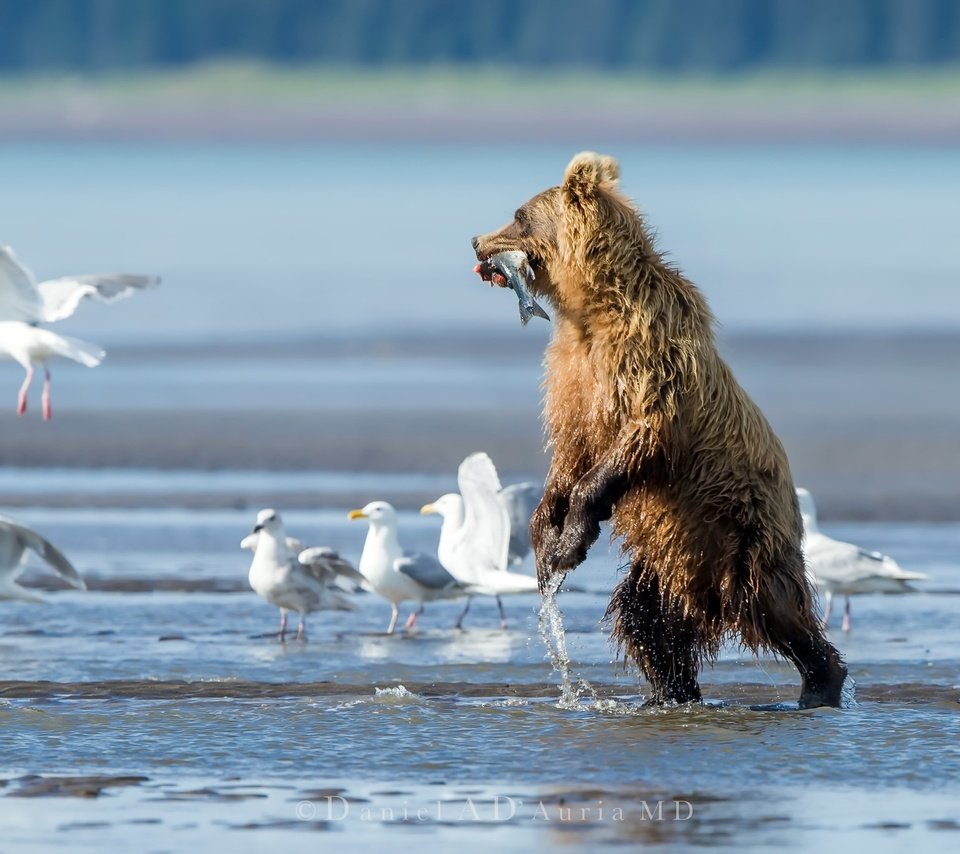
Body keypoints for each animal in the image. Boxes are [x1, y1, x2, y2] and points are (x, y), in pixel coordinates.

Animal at [472, 154, 848, 708]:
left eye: (519, 215)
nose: (476, 241)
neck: (592, 310)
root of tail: (705, 595)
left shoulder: (650, 362)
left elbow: (637, 439)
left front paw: (569, 542)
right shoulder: (572, 378)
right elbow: (569, 452)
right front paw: (545, 537)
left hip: (743, 530)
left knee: (773, 606)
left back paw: (820, 681)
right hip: (668, 557)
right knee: (645, 618)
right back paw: (671, 692)